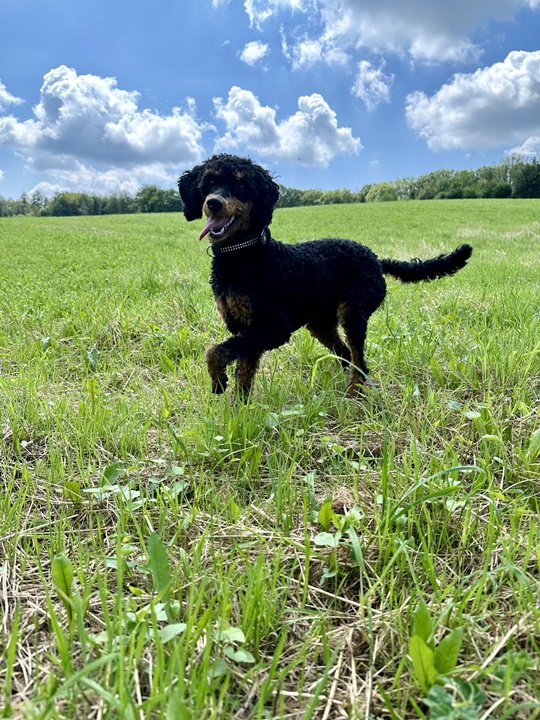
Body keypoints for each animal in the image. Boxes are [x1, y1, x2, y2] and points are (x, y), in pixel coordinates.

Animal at [178, 154, 472, 397]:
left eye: (241, 185)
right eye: (209, 182)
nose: (213, 203)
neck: (244, 256)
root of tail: (376, 258)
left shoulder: (273, 327)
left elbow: (215, 351)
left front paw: (218, 381)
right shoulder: (243, 327)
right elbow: (243, 371)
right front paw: (239, 409)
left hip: (353, 312)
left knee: (358, 360)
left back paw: (354, 394)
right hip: (321, 323)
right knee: (346, 354)